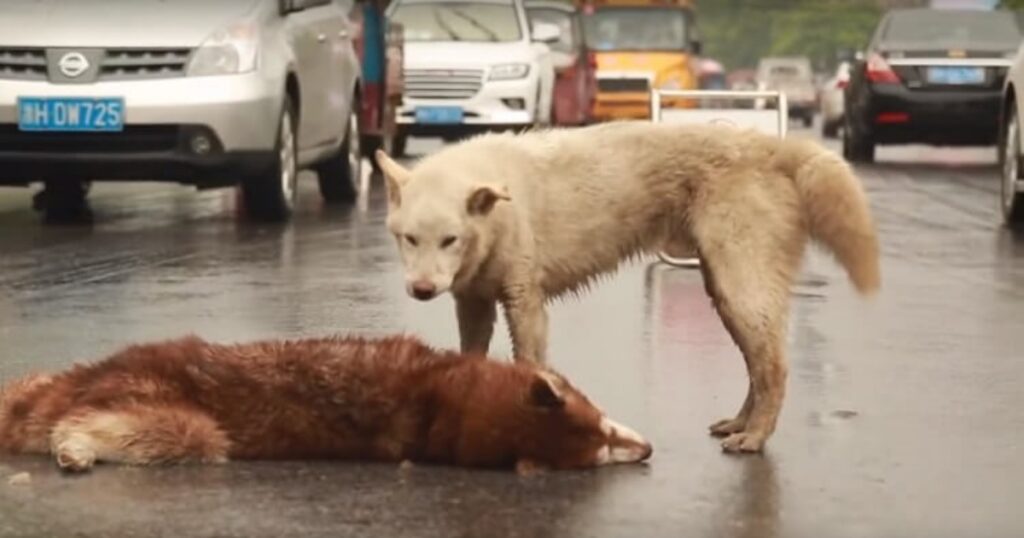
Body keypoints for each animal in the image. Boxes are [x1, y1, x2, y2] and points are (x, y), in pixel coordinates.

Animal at [376, 119, 880, 450]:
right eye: (409, 239)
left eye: (450, 240)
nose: (422, 290)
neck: (500, 205)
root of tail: (772, 146)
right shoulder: (473, 301)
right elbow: (471, 357)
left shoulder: (526, 302)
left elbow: (530, 365)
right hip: (724, 292)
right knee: (758, 367)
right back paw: (740, 425)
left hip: (740, 288)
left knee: (774, 367)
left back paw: (755, 437)